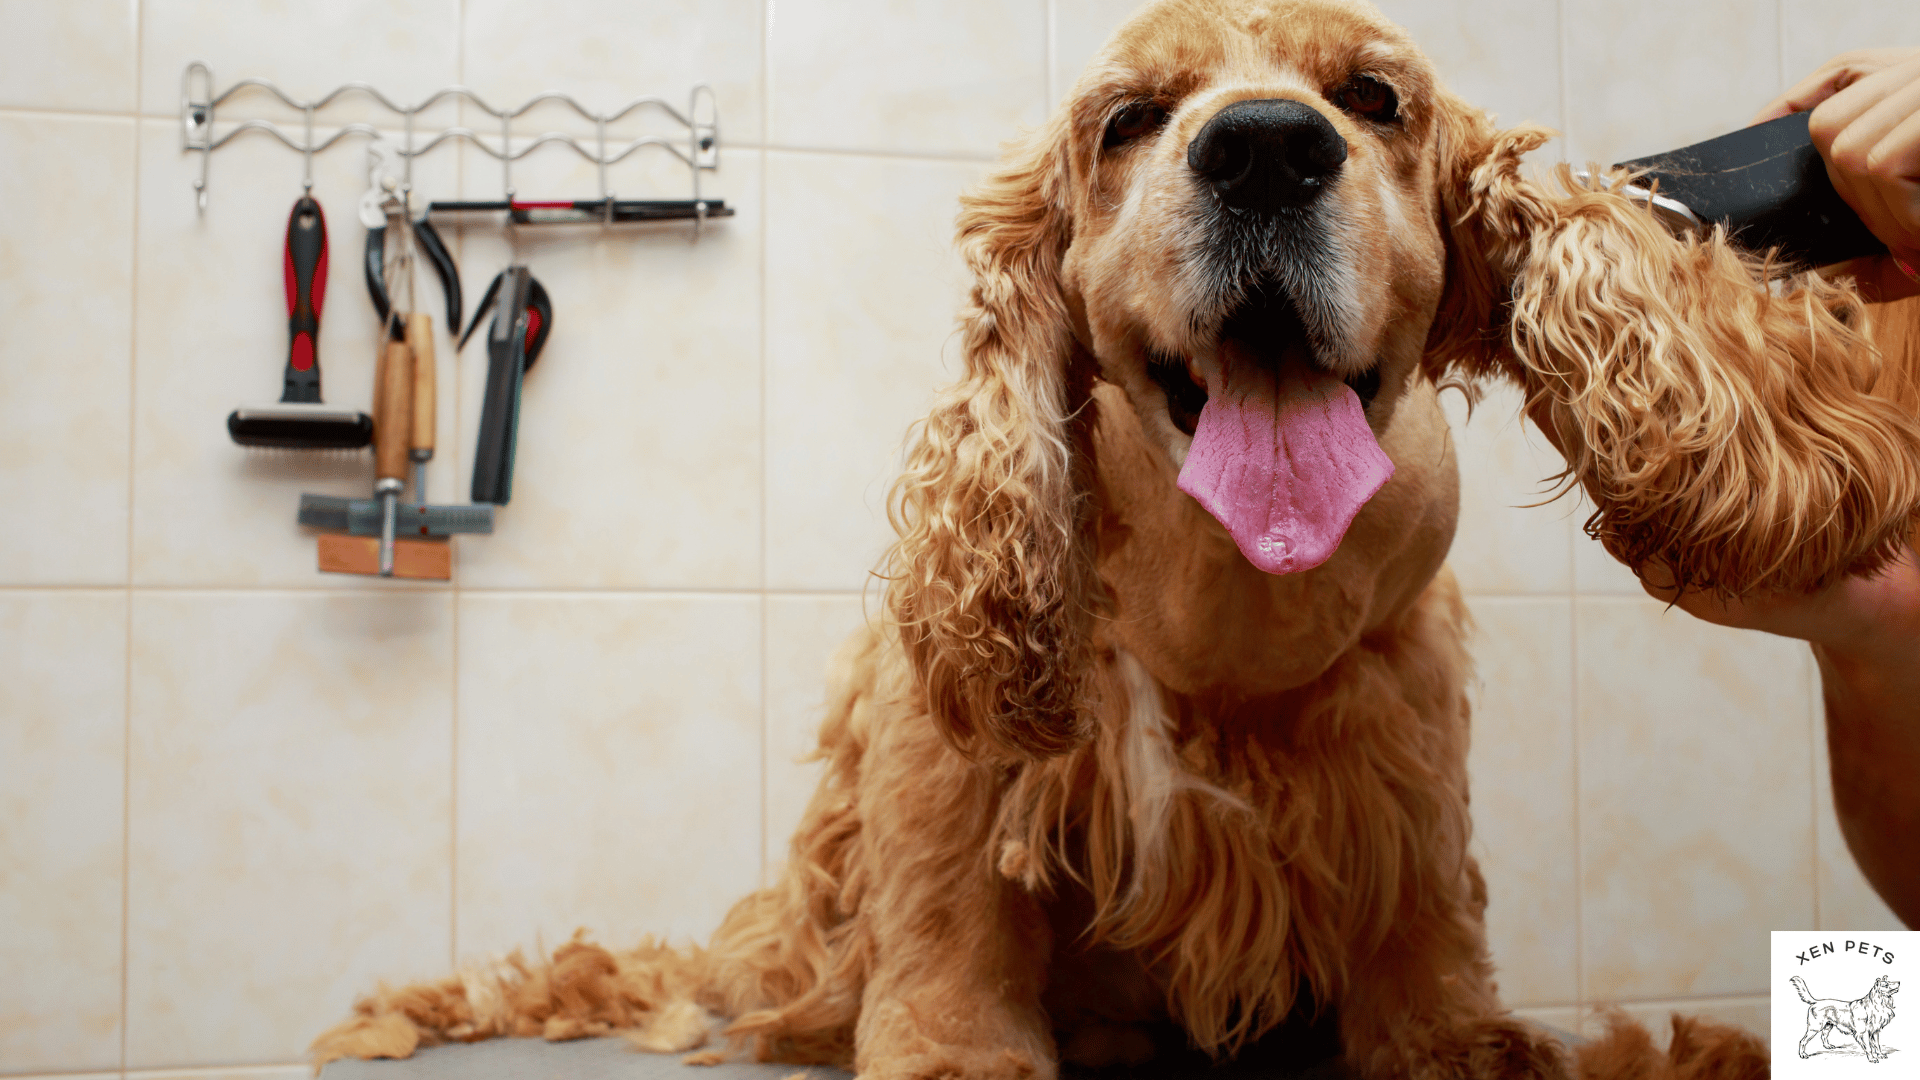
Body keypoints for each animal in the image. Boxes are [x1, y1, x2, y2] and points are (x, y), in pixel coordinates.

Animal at [311, 2, 1920, 1076]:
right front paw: (955, 1046)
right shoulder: (953, 747)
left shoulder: (1402, 719)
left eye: (1374, 98)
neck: (1235, 603)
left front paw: (1457, 1037)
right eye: (1129, 121)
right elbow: (948, 909)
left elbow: (1422, 909)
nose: (1265, 151)